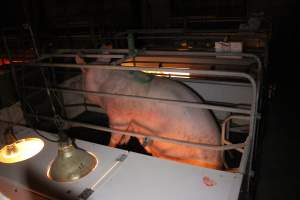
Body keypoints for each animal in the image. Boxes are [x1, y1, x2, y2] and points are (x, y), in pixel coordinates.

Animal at [74, 53, 223, 169]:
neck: (102, 86)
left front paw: (111, 146)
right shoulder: (130, 119)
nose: (76, 87)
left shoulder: (118, 116)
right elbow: (128, 130)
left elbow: (115, 134)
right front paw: (124, 142)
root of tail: (217, 162)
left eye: (81, 75)